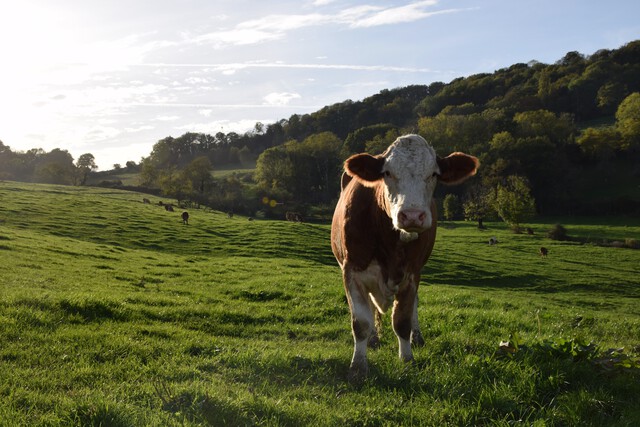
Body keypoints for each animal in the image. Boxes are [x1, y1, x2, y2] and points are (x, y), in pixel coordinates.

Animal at [332, 134, 478, 382]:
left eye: (433, 174)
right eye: (387, 173)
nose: (411, 215)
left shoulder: (411, 273)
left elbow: (402, 320)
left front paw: (407, 359)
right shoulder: (351, 270)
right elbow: (361, 322)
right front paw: (358, 366)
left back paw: (416, 337)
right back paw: (373, 339)